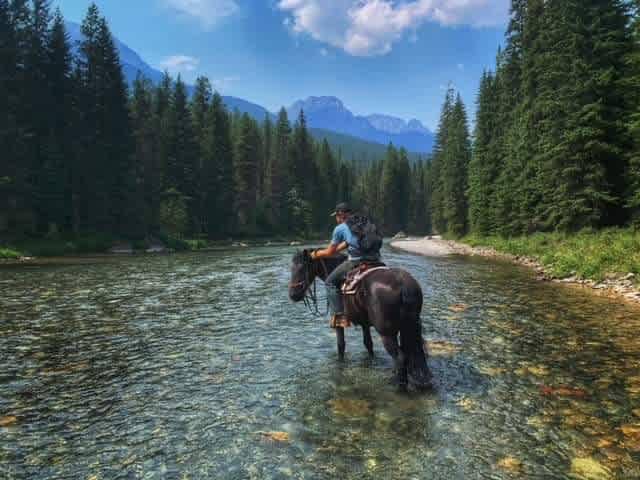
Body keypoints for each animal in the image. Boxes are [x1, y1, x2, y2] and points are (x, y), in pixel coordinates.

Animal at [288, 249, 430, 392]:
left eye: (302, 268)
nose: (293, 295)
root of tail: (402, 284)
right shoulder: (365, 323)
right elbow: (368, 344)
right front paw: (371, 362)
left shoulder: (338, 321)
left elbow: (341, 345)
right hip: (409, 327)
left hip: (386, 333)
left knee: (400, 357)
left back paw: (400, 388)